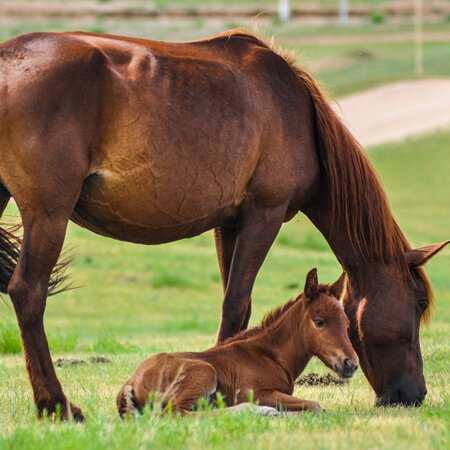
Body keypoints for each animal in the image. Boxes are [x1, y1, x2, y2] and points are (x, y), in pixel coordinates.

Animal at [117, 268, 358, 418]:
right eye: (319, 322)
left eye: (347, 323)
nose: (351, 364)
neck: (269, 356)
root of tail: (131, 382)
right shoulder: (257, 393)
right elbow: (314, 406)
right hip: (204, 372)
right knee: (176, 413)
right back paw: (258, 411)